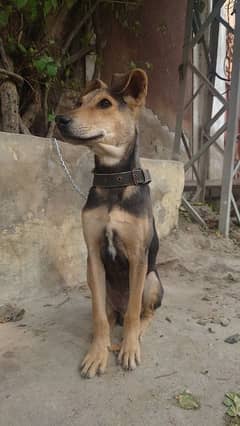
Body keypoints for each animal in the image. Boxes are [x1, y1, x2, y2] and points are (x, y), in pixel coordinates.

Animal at [55, 68, 163, 378]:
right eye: (78, 102)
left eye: (105, 104)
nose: (60, 120)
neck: (114, 180)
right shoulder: (92, 253)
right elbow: (99, 317)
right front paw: (97, 352)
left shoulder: (138, 256)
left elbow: (134, 314)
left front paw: (129, 348)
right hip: (95, 281)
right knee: (110, 313)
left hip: (152, 279)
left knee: (142, 312)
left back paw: (135, 333)